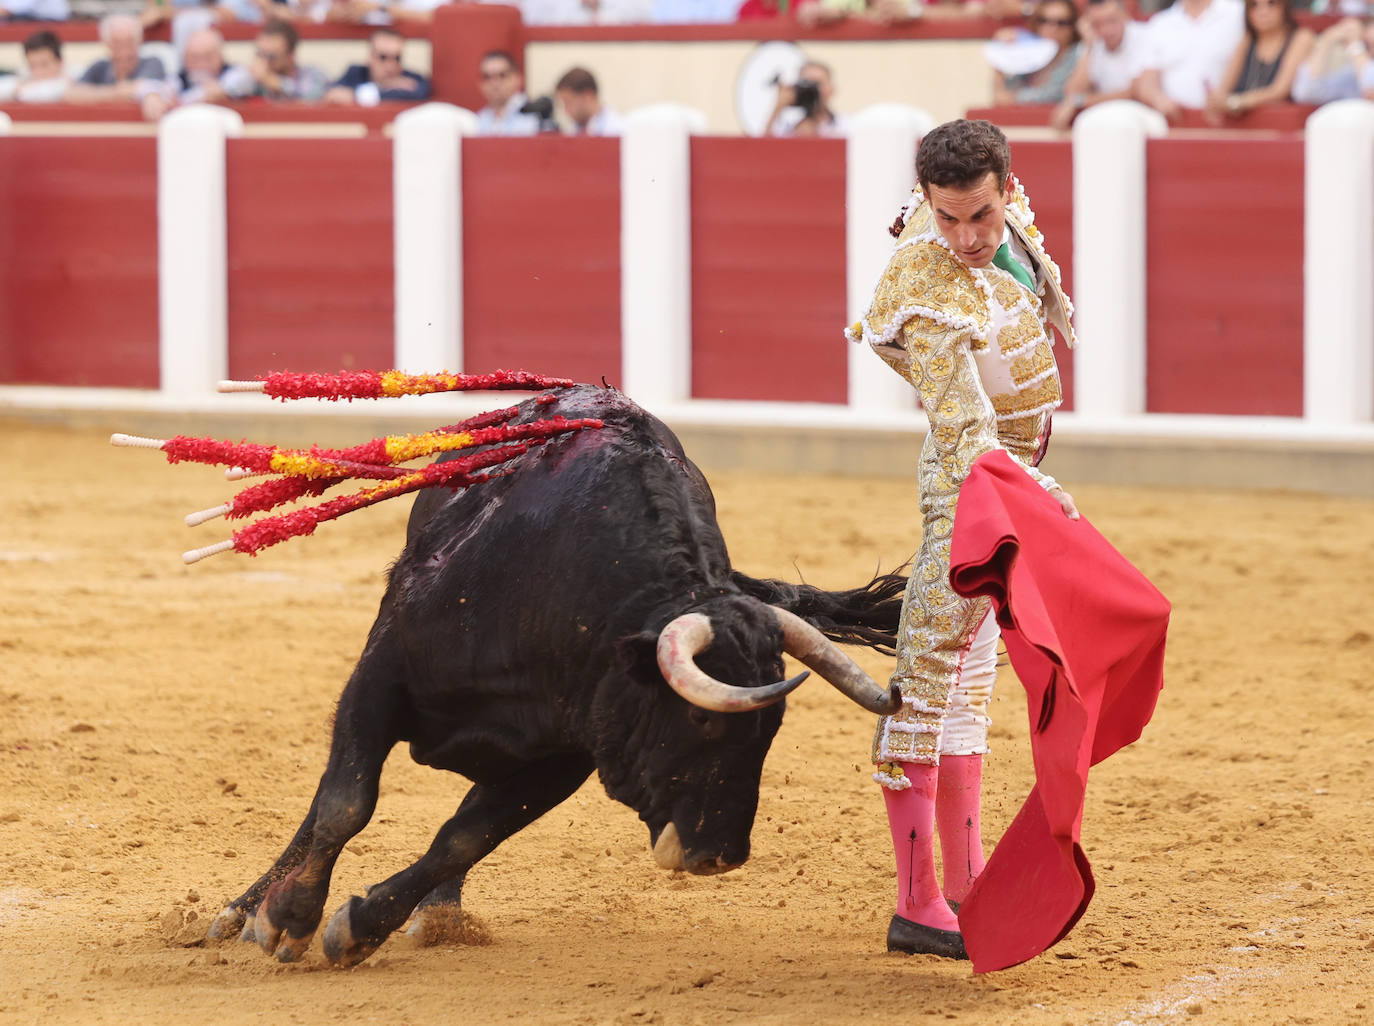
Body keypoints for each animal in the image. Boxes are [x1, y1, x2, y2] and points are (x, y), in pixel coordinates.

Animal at [206, 384, 912, 972]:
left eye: (771, 733)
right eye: (701, 718)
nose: (721, 855)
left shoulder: (562, 757)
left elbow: (461, 838)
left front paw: (359, 928)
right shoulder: (380, 679)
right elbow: (346, 803)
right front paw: (288, 920)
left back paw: (438, 915)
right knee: (330, 802)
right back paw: (241, 913)